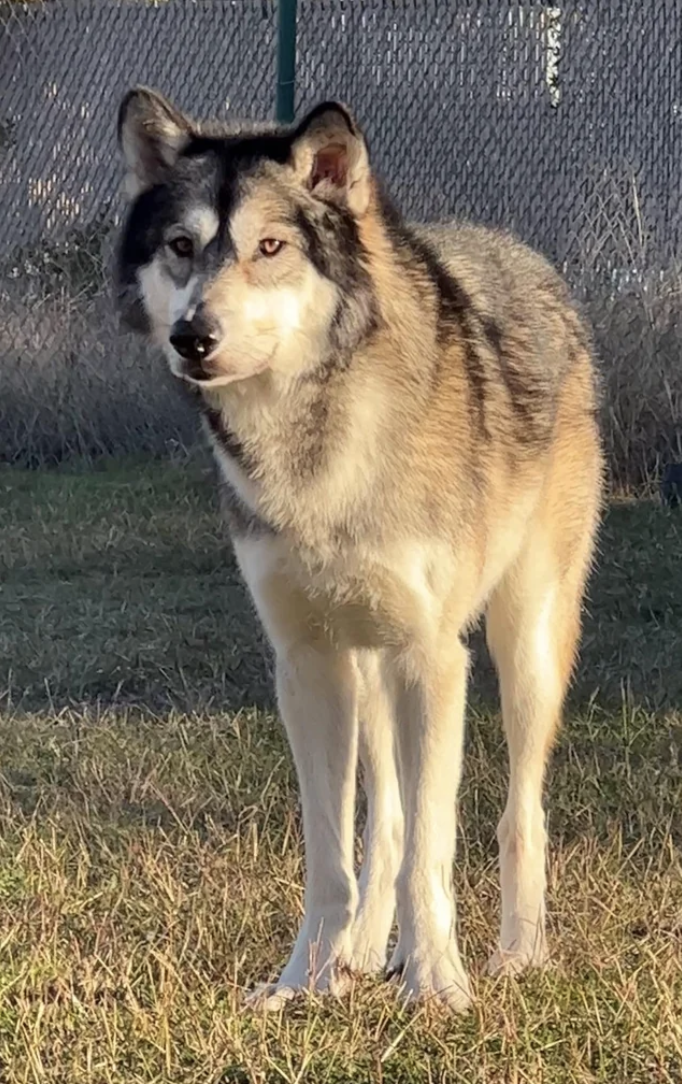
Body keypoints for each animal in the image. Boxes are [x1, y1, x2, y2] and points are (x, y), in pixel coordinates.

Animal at [114, 88, 602, 1010]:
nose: (192, 336)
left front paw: (438, 988)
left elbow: (433, 854)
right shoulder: (306, 666)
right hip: (369, 672)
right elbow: (333, 858)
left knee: (519, 810)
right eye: (182, 247)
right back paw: (366, 954)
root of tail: (525, 256)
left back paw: (516, 953)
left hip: (521, 646)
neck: (314, 453)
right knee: (390, 823)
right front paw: (303, 983)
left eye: (270, 247)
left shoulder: (435, 659)